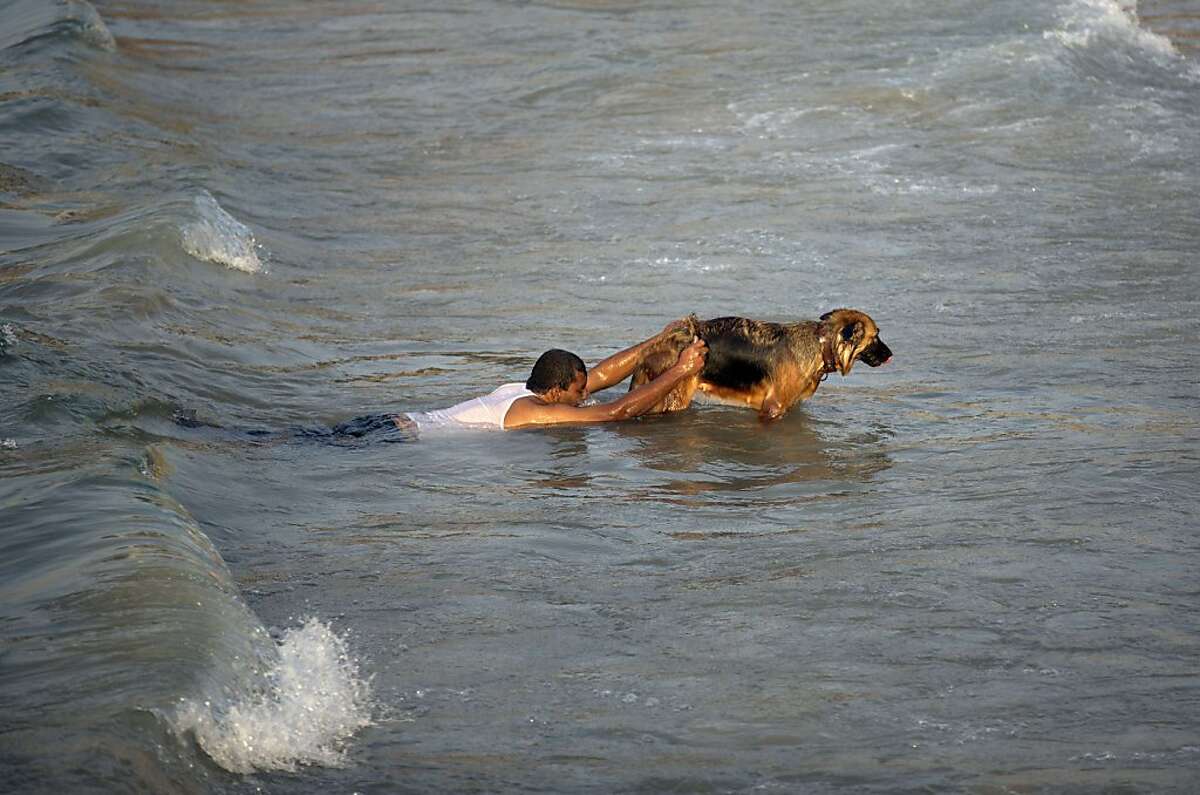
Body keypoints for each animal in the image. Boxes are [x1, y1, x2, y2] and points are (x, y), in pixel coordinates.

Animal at [628, 309, 892, 422]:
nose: (891, 355)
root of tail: (663, 340)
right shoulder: (773, 407)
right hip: (675, 396)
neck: (821, 344)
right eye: (875, 337)